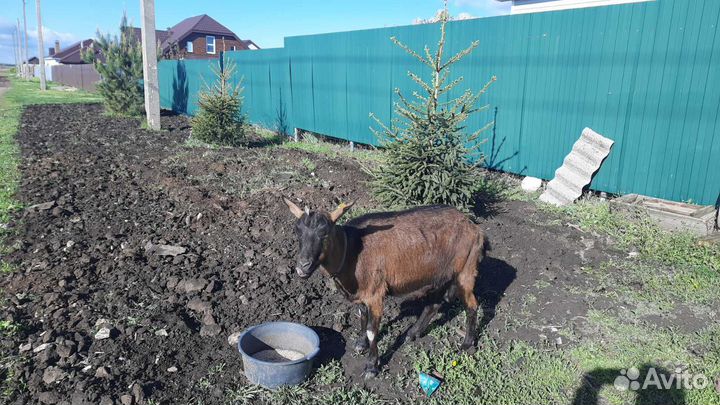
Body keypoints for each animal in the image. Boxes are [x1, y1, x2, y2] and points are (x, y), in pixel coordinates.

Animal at [283, 197, 488, 378]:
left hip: (465, 271)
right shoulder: (362, 293)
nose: (303, 267)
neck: (353, 250)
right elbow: (361, 316)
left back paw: (466, 344)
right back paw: (412, 333)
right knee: (434, 304)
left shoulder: (375, 294)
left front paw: (371, 367)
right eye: (297, 232)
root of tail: (475, 228)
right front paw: (360, 344)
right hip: (439, 275)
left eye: (324, 233)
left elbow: (372, 331)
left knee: (471, 305)